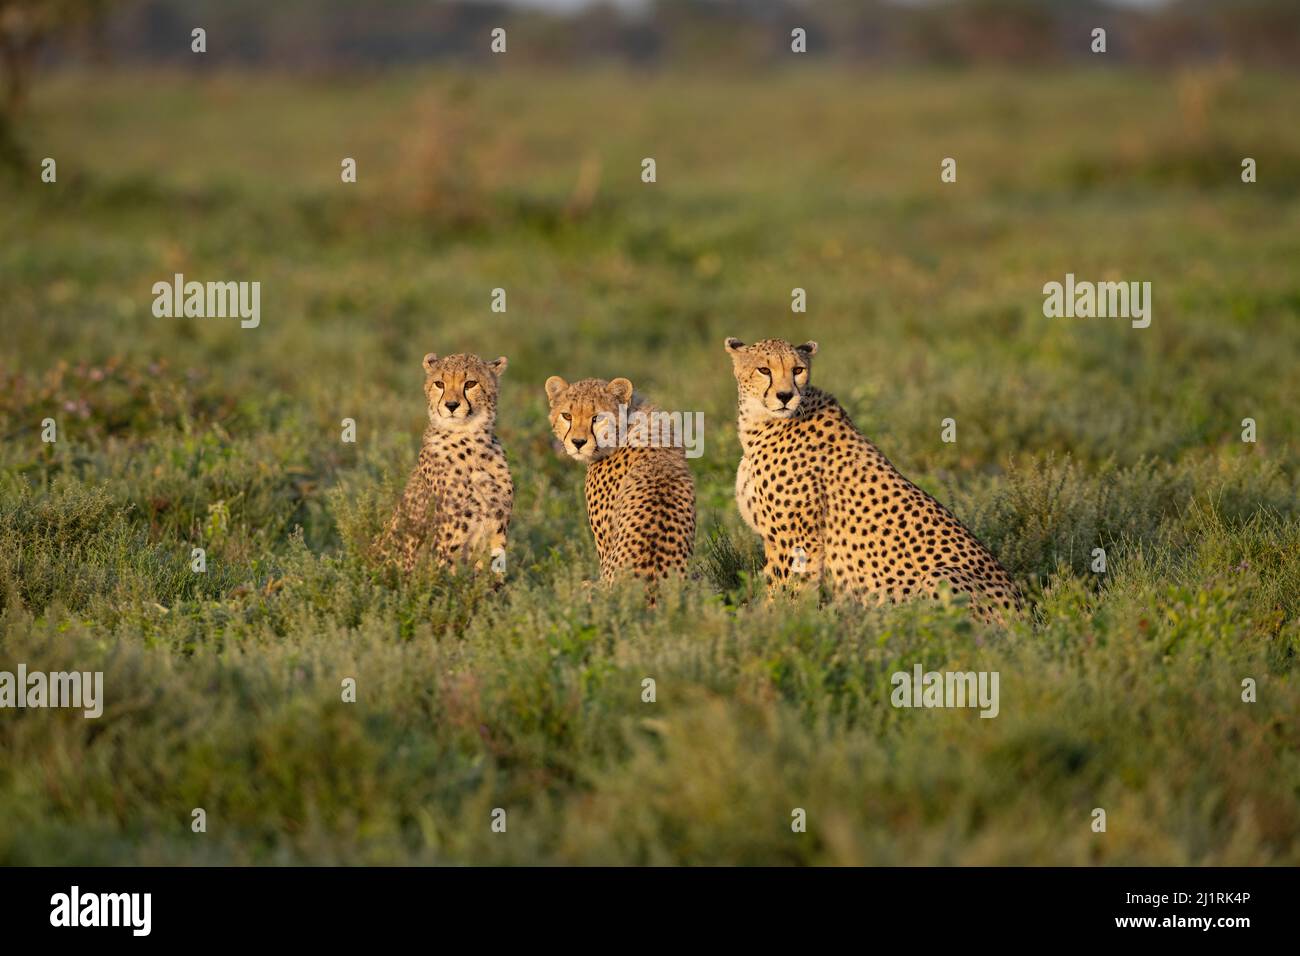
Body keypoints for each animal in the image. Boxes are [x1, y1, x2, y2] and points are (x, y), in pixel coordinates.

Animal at [377, 351, 512, 574]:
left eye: (470, 383)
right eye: (439, 384)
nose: (451, 405)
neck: (471, 443)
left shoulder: (497, 532)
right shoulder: (448, 541)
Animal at [728, 335, 1019, 621]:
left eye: (797, 370)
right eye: (764, 370)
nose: (785, 395)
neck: (759, 424)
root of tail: (1022, 610)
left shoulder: (797, 540)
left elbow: (786, 595)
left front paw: (771, 622)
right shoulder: (778, 540)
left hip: (941, 575)